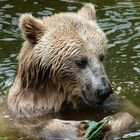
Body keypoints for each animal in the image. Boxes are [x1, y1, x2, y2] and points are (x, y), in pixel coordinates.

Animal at [6, 3, 136, 140]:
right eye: (81, 61)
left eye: (101, 56)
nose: (104, 90)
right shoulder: (28, 110)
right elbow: (36, 125)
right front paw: (80, 128)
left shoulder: (105, 103)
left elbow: (130, 111)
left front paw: (108, 124)